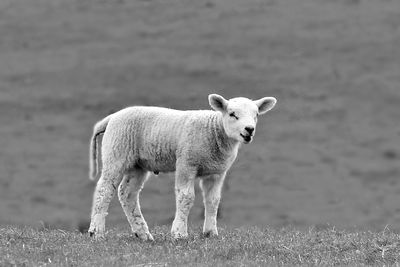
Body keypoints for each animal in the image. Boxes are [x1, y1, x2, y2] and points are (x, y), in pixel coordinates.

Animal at [87, 93, 276, 241]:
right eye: (232, 114)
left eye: (256, 114)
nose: (249, 129)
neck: (215, 131)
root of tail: (112, 117)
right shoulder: (186, 163)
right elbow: (186, 197)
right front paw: (179, 233)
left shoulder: (217, 172)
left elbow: (213, 200)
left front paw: (210, 233)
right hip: (117, 152)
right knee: (104, 189)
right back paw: (96, 232)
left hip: (137, 165)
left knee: (127, 193)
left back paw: (143, 234)